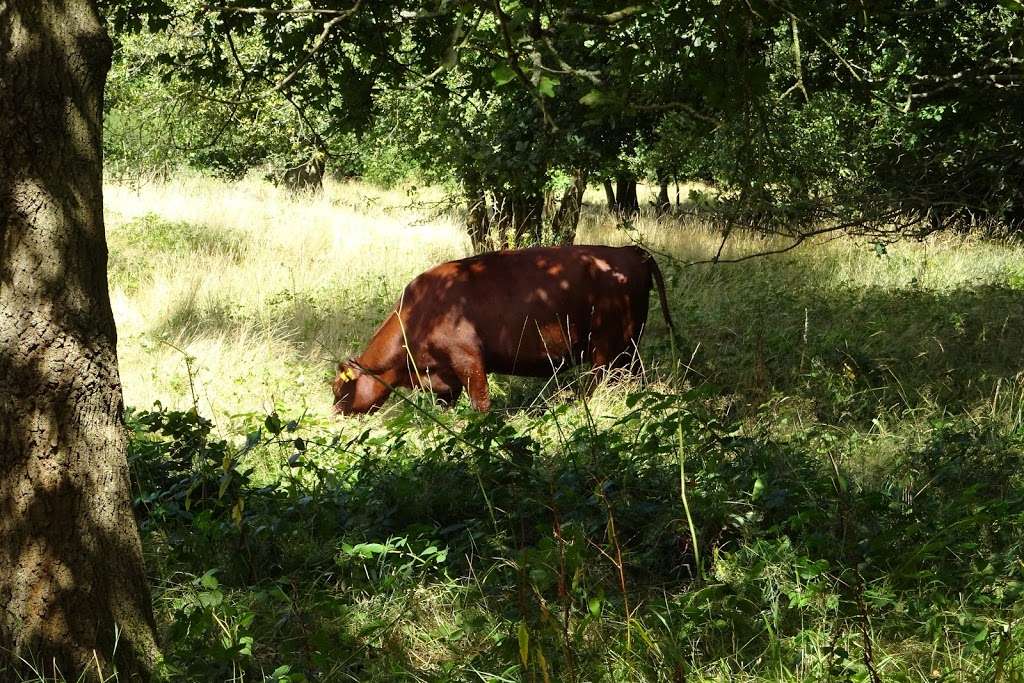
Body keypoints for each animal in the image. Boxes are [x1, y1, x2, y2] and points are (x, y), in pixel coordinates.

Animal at [331, 245, 675, 417]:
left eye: (340, 389)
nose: (335, 413)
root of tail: (627, 250)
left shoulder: (469, 360)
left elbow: (481, 406)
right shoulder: (445, 381)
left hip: (606, 348)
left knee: (600, 383)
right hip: (629, 348)